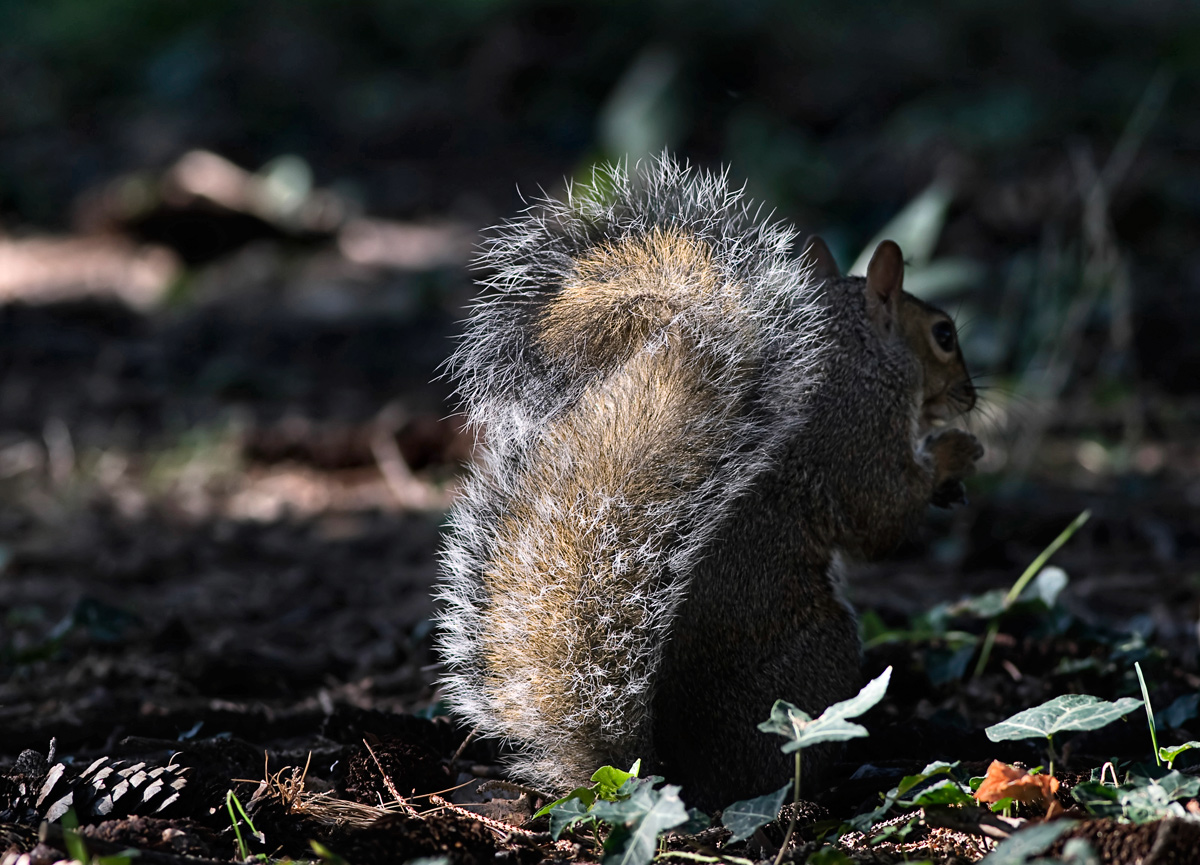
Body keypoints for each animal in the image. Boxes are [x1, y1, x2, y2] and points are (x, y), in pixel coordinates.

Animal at [435, 157, 982, 810]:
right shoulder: (858, 433)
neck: (858, 353)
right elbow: (881, 518)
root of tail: (667, 774)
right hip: (819, 657)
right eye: (944, 334)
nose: (971, 397)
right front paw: (952, 454)